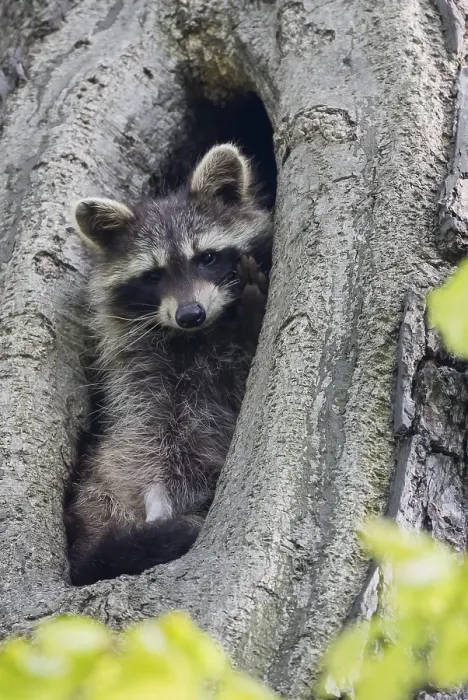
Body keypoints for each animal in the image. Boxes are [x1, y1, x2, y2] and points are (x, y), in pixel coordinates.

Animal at [65, 144, 273, 586]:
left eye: (207, 257)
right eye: (153, 275)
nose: (190, 314)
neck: (196, 338)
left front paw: (251, 313)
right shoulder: (141, 380)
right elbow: (150, 442)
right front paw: (159, 501)